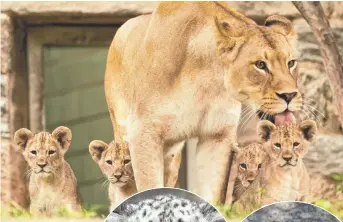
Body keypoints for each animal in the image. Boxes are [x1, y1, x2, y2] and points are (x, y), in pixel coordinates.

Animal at [105, 2, 304, 203]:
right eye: (260, 65)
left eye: (291, 63)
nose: (290, 95)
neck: (205, 77)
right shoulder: (144, 133)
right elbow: (148, 186)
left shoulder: (217, 135)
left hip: (172, 154)